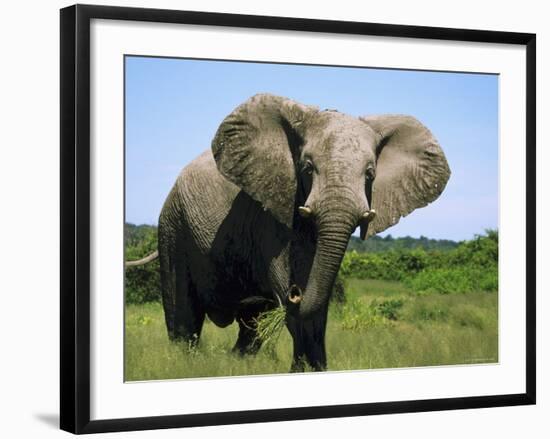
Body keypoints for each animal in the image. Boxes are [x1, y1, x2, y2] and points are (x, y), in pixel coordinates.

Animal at [150, 92, 448, 372]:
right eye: (307, 168)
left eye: (370, 174)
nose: (296, 291)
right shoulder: (271, 214)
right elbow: (289, 291)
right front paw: (301, 369)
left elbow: (318, 305)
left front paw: (316, 370)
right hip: (173, 224)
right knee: (183, 312)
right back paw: (183, 364)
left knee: (250, 325)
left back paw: (237, 362)